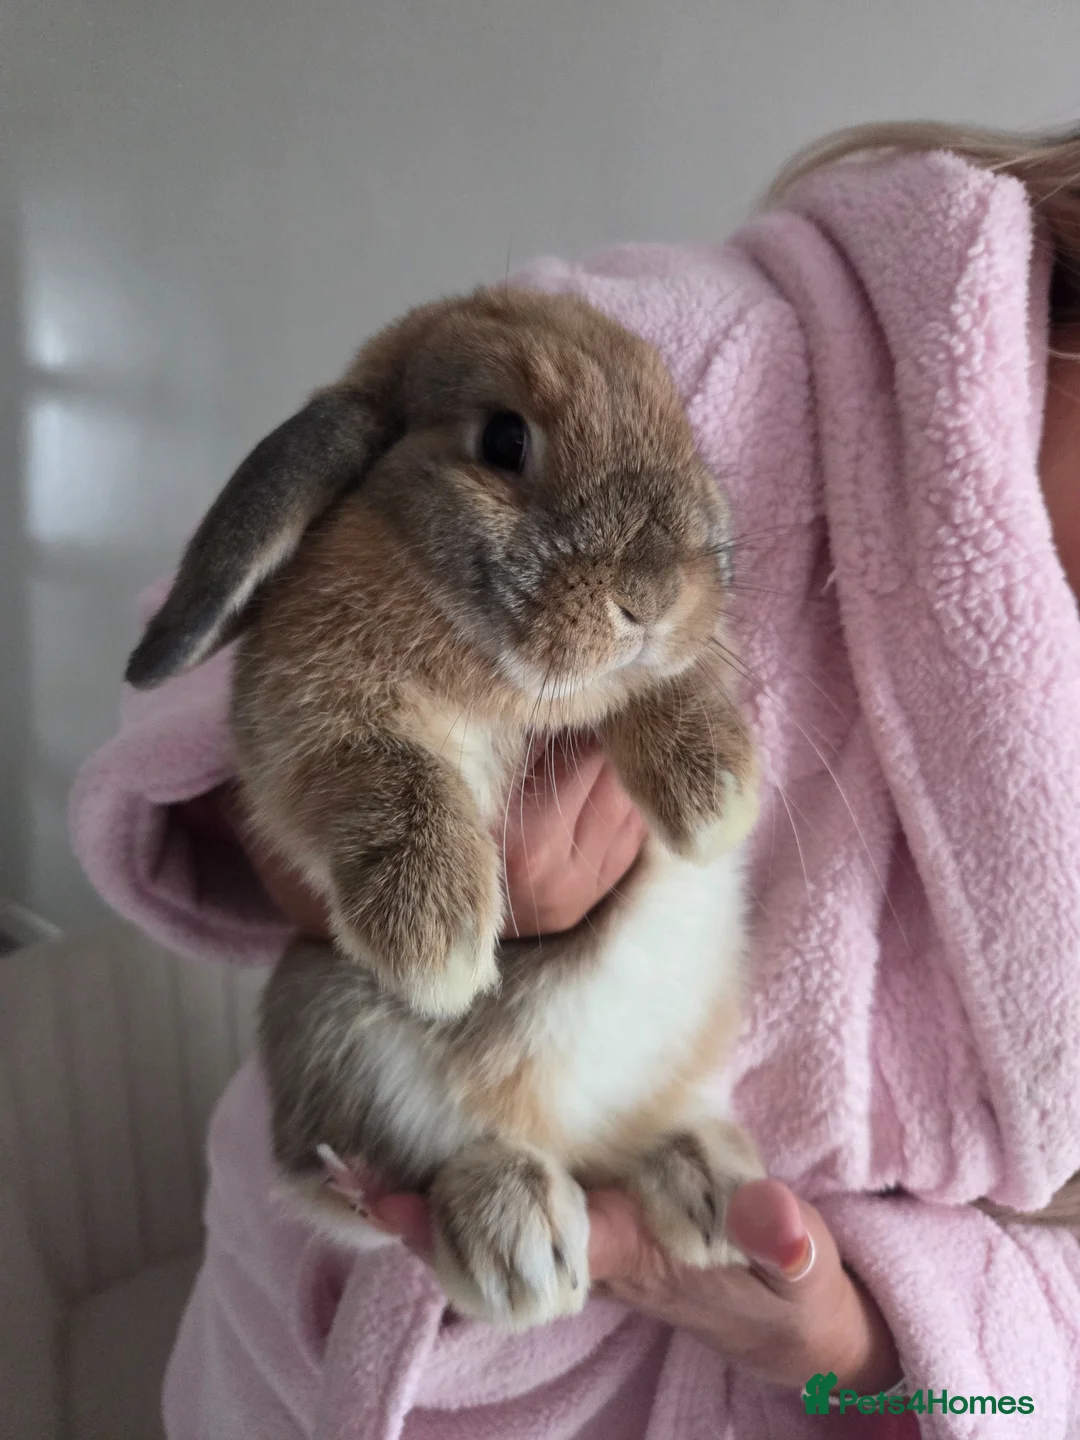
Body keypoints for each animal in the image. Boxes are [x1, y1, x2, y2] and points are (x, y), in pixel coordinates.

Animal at [126, 285, 764, 1331]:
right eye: (504, 440)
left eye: (676, 419)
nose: (652, 593)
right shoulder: (308, 722)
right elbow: (389, 775)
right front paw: (439, 944)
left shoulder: (654, 671)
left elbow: (669, 682)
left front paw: (716, 798)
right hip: (330, 1026)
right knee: (383, 1179)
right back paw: (516, 1234)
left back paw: (703, 1179)